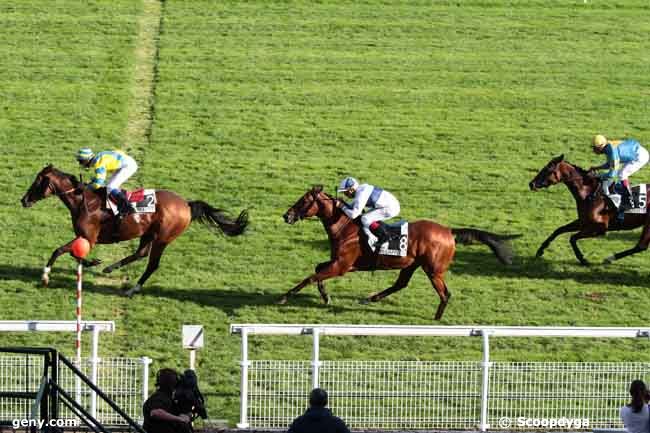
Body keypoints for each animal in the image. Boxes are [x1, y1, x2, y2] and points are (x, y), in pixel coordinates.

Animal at [20, 164, 248, 296]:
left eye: (37, 182)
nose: (23, 200)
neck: (85, 202)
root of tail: (187, 205)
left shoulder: (89, 237)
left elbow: (60, 250)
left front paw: (46, 276)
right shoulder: (83, 238)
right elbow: (74, 254)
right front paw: (94, 262)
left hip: (163, 238)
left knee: (152, 264)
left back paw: (133, 289)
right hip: (148, 234)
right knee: (141, 253)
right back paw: (110, 268)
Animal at [278, 184, 516, 318]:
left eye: (304, 201)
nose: (286, 216)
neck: (345, 227)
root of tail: (448, 231)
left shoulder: (342, 266)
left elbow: (311, 277)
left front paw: (285, 297)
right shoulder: (339, 262)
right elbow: (317, 270)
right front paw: (326, 296)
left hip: (433, 270)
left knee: (445, 294)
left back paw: (436, 318)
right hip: (411, 264)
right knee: (401, 284)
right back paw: (370, 299)